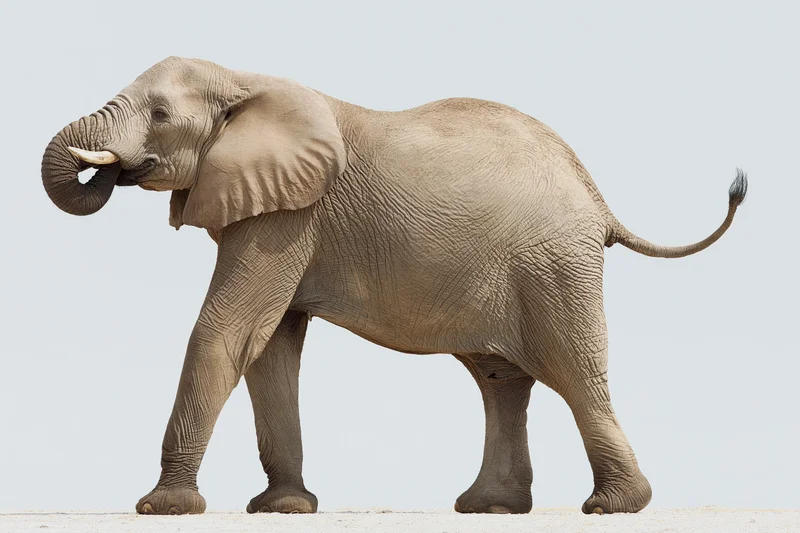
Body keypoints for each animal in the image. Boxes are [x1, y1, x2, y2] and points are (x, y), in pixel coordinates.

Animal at [41, 57, 747, 516]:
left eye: (160, 115)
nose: (108, 169)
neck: (246, 81)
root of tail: (597, 197)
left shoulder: (288, 215)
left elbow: (229, 330)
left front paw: (165, 506)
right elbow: (271, 347)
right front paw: (284, 508)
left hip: (554, 266)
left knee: (574, 372)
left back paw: (613, 507)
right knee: (501, 381)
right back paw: (487, 507)